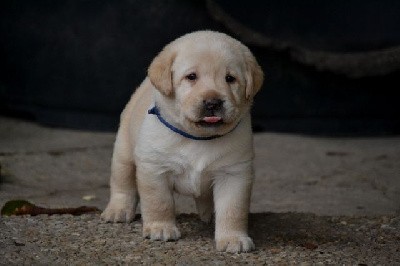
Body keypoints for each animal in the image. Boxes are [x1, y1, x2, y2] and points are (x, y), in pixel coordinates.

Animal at [101, 30, 262, 252]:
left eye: (230, 78)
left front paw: (232, 238)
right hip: (124, 151)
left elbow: (233, 210)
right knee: (122, 182)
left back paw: (207, 215)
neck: (198, 138)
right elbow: (159, 202)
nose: (213, 102)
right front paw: (160, 228)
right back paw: (118, 210)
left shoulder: (234, 173)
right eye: (191, 77)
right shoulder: (154, 169)